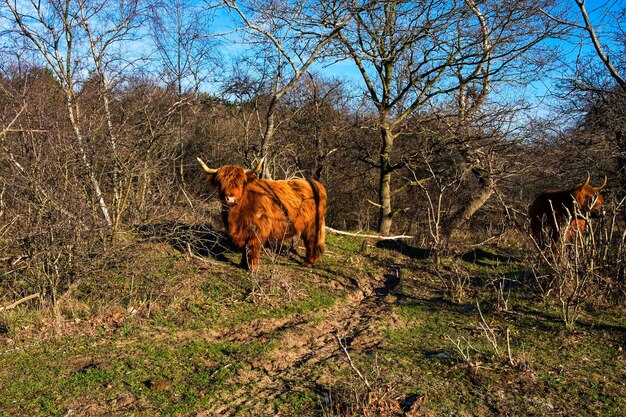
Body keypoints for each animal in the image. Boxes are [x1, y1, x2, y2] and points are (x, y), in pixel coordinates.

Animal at [197, 158, 326, 268]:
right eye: (220, 182)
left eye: (241, 182)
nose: (230, 199)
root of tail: (315, 183)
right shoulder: (243, 231)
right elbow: (245, 248)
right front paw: (242, 264)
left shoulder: (258, 228)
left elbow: (252, 246)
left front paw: (252, 268)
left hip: (313, 225)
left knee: (311, 241)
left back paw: (308, 262)